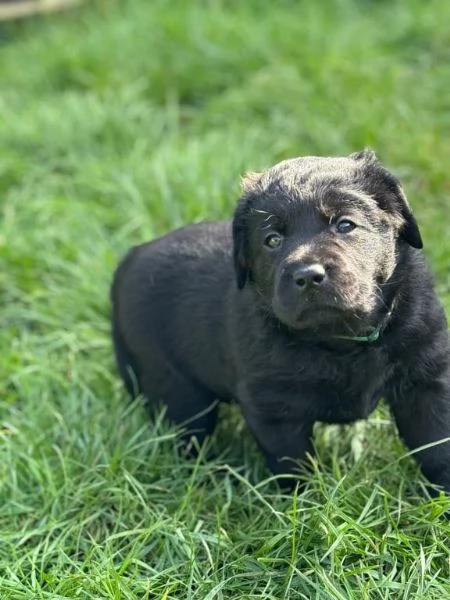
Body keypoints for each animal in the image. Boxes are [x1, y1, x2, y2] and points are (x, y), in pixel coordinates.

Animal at [110, 149, 450, 492]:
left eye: (345, 224)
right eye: (272, 240)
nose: (308, 276)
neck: (340, 340)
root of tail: (130, 259)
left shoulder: (427, 378)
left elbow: (436, 442)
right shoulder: (273, 405)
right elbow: (292, 461)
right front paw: (304, 501)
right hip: (175, 387)